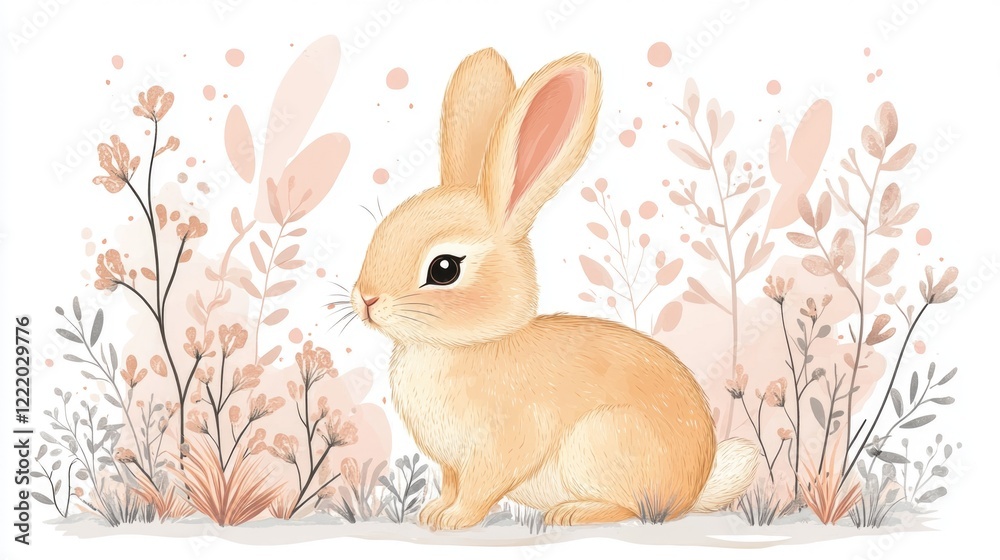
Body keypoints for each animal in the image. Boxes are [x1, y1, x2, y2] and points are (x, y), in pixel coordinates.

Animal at [351, 48, 757, 530]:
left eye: (443, 269)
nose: (366, 299)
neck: (465, 345)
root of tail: (692, 490)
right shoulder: (451, 464)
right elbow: (450, 485)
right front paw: (432, 514)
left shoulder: (498, 450)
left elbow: (479, 490)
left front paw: (454, 521)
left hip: (602, 442)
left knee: (636, 507)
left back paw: (572, 512)